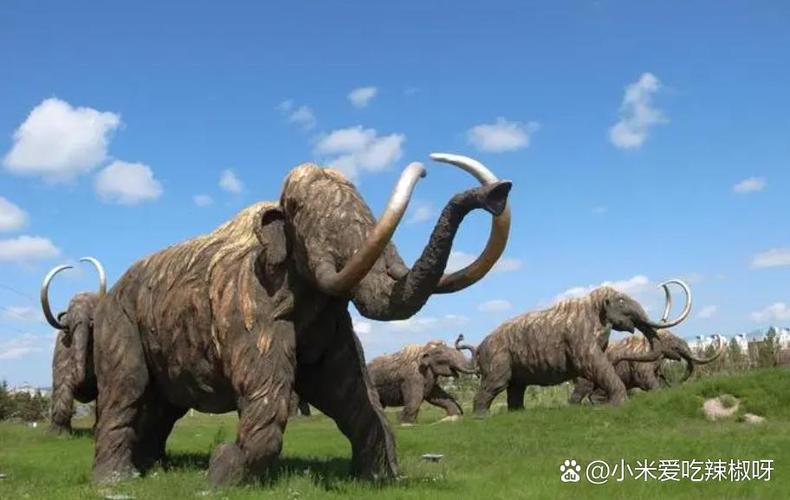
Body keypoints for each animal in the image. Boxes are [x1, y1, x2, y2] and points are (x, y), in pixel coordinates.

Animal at [90, 154, 512, 485]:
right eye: (305, 215)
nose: (498, 192)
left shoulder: (332, 323)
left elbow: (350, 391)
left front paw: (379, 476)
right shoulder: (247, 303)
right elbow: (270, 392)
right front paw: (219, 473)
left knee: (162, 408)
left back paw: (151, 467)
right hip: (119, 324)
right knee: (126, 391)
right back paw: (116, 480)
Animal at [471, 280, 691, 415]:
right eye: (621, 301)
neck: (593, 303)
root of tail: (479, 347)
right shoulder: (578, 336)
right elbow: (593, 364)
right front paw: (620, 404)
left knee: (516, 388)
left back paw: (519, 413)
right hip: (498, 359)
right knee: (496, 384)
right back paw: (482, 416)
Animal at [569, 330, 725, 404]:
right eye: (672, 341)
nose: (715, 335)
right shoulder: (641, 364)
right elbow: (647, 381)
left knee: (596, 393)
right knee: (580, 393)